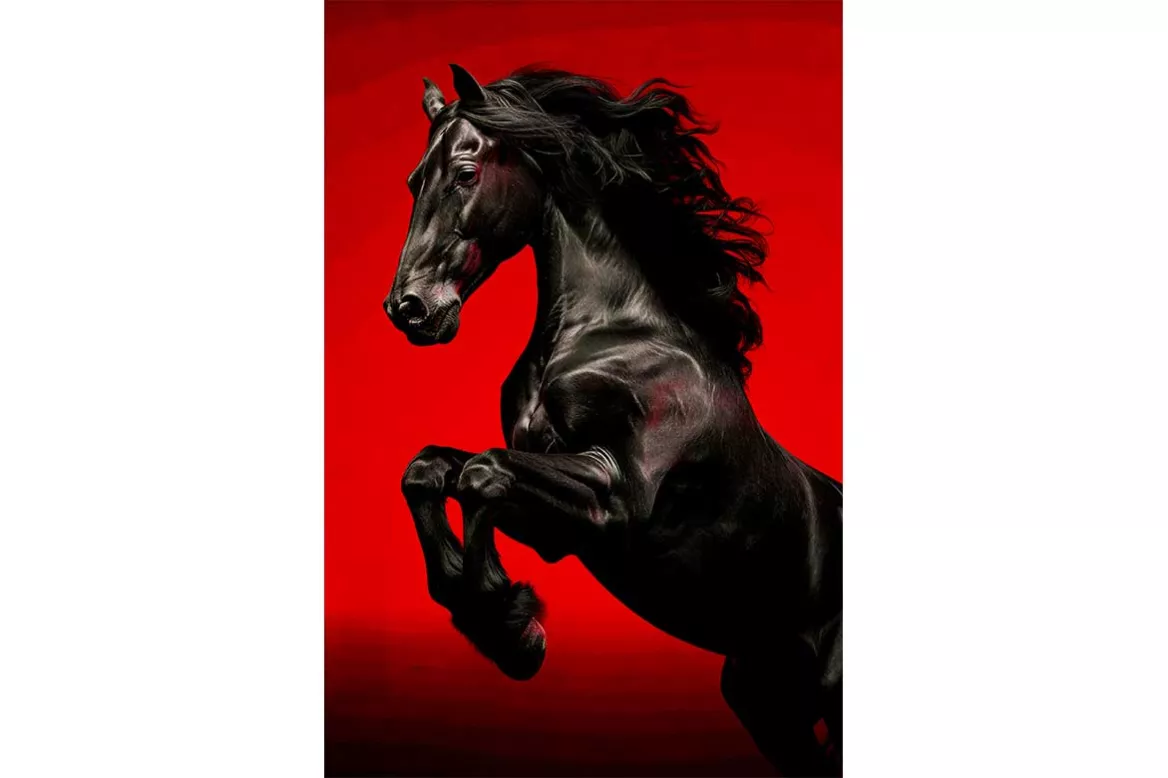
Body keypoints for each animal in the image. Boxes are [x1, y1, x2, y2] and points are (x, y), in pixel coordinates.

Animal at [384, 64, 842, 776]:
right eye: (412, 180)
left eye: (464, 171)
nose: (408, 308)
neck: (608, 333)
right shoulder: (557, 526)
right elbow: (430, 468)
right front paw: (497, 614)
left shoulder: (616, 497)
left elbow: (483, 473)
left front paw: (510, 624)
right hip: (769, 703)